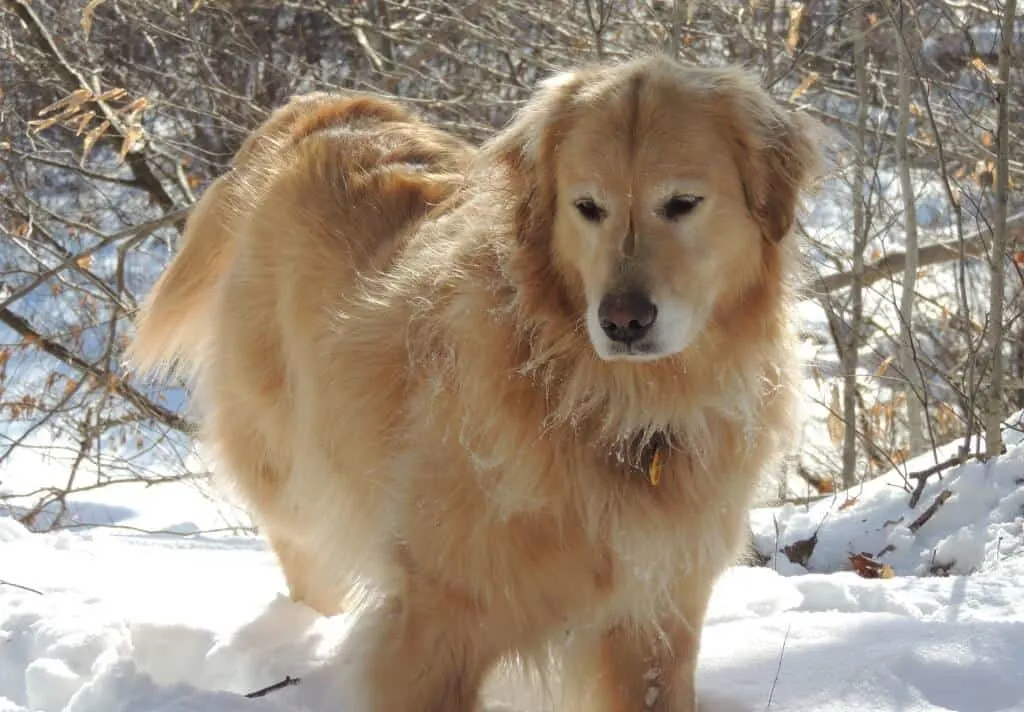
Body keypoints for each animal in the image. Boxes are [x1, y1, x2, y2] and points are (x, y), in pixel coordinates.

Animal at [130, 57, 815, 712]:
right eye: (587, 207)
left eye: (682, 203)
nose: (622, 320)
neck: (607, 404)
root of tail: (320, 107)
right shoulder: (436, 620)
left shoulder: (654, 620)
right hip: (296, 483)